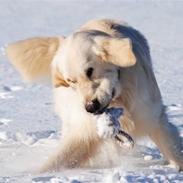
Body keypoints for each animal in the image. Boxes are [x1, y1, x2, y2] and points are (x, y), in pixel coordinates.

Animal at [5, 19, 183, 172]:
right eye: (71, 81)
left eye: (90, 71)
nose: (90, 107)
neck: (121, 99)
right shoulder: (84, 132)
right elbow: (59, 159)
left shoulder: (154, 118)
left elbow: (172, 148)